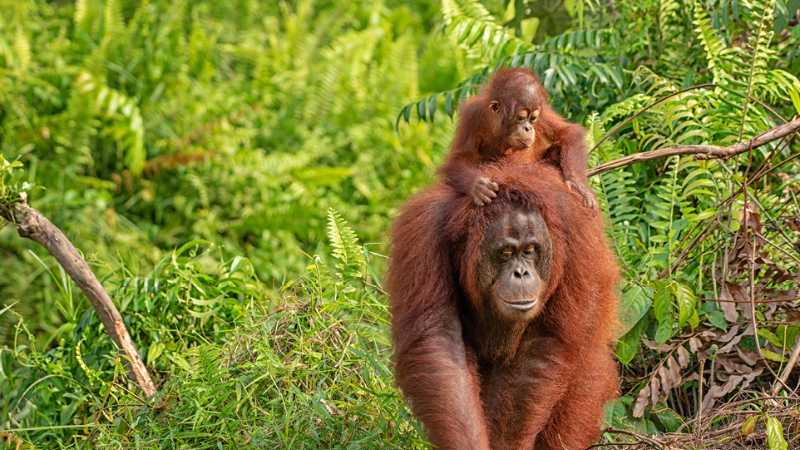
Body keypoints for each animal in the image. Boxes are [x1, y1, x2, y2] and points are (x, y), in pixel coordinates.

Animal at [439, 67, 597, 210]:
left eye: (533, 119)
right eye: (520, 118)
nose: (528, 128)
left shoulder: (543, 111)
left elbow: (569, 132)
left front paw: (578, 185)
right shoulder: (471, 115)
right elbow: (459, 158)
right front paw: (477, 186)